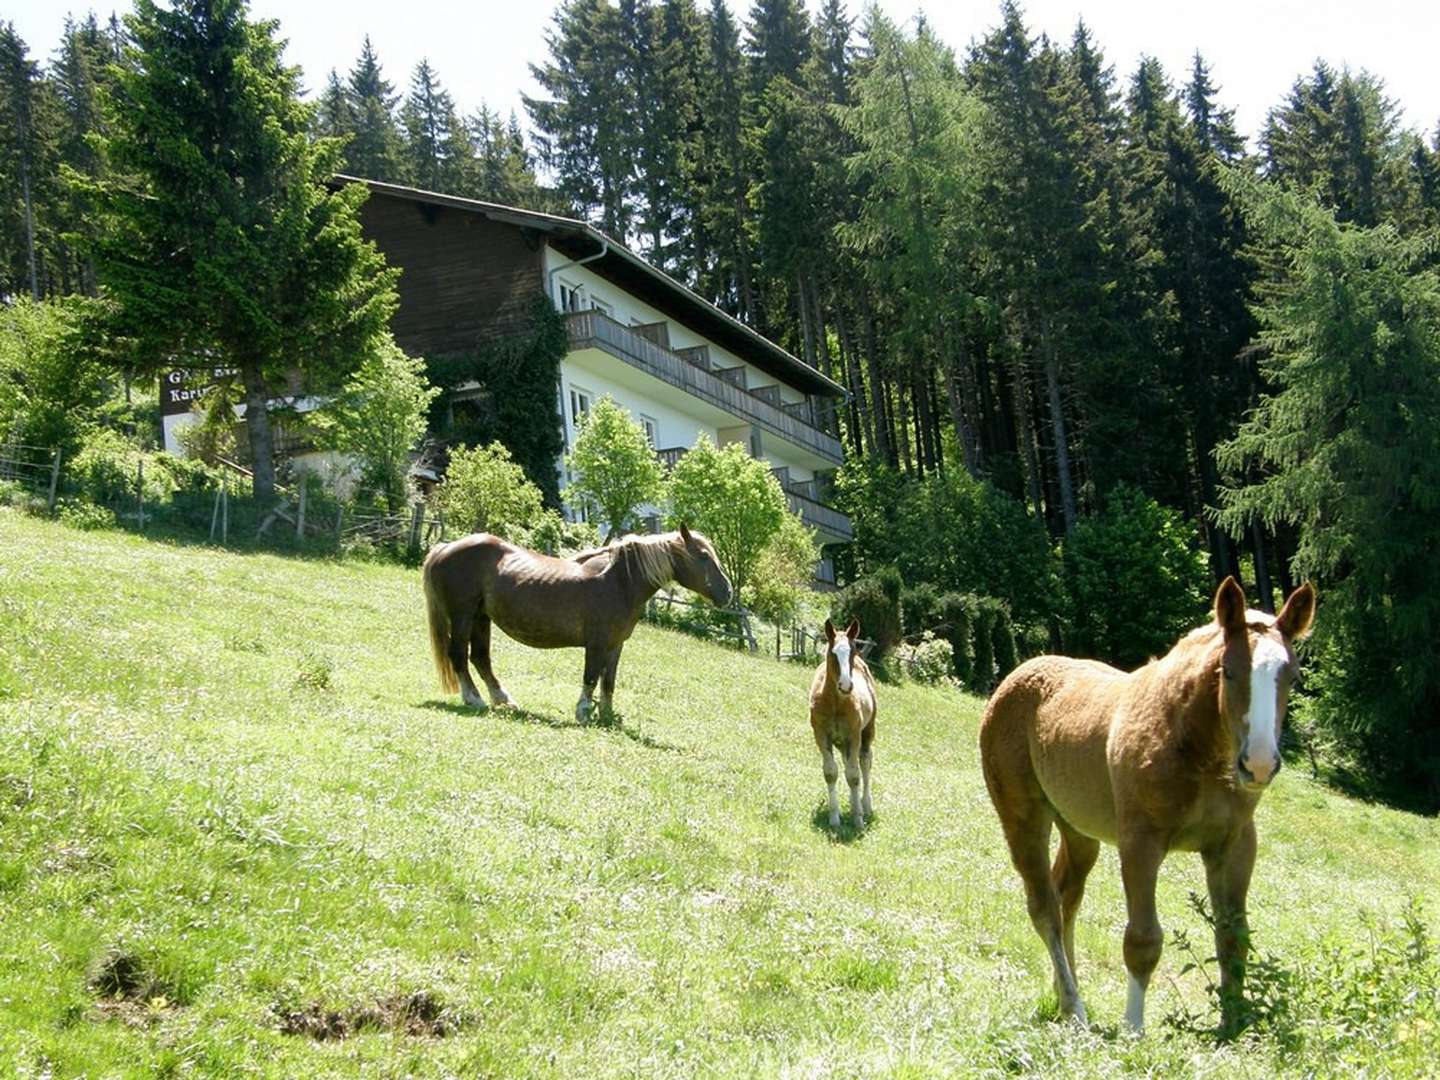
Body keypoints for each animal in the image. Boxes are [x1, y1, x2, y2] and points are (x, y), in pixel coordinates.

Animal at [420, 529, 731, 722]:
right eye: (704, 556)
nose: (727, 592)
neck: (619, 581)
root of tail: (444, 548)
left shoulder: (615, 645)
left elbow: (608, 682)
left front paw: (606, 715)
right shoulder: (596, 644)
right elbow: (591, 677)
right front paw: (583, 711)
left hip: (481, 618)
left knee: (480, 659)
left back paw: (503, 700)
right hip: (463, 615)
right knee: (459, 656)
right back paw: (474, 699)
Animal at [812, 616, 875, 829]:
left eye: (853, 652)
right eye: (833, 653)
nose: (846, 685)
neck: (836, 704)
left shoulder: (854, 735)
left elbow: (854, 775)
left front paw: (858, 819)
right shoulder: (821, 735)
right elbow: (831, 772)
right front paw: (834, 819)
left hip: (868, 731)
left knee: (864, 761)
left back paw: (866, 805)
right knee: (848, 762)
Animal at [979, 578, 1319, 1036]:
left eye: (1292, 677)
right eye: (1228, 671)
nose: (1260, 763)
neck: (1195, 747)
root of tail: (1013, 678)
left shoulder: (1234, 846)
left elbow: (1233, 936)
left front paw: (1233, 1026)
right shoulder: (1141, 843)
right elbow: (1142, 939)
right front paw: (1134, 1028)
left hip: (1078, 831)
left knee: (1066, 895)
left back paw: (1064, 992)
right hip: (1023, 817)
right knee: (1044, 906)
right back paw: (1074, 1007)